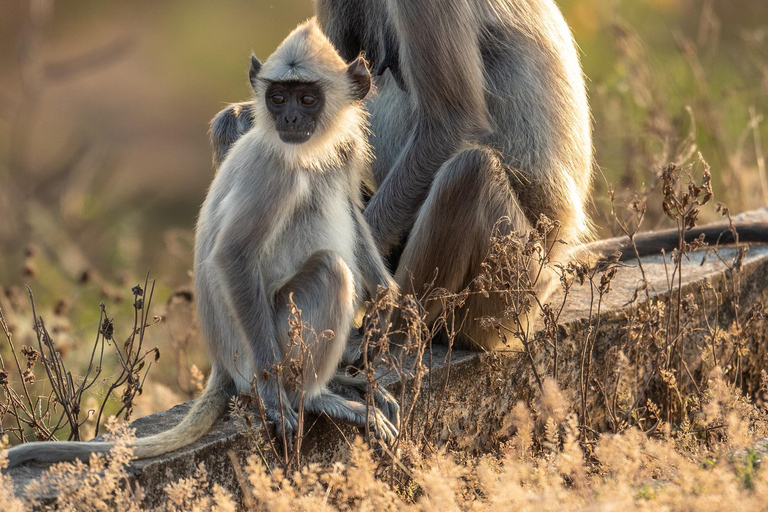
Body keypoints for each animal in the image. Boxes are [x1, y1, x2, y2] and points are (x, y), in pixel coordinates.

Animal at [4, 19, 402, 468]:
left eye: (307, 98)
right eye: (277, 98)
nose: (290, 116)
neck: (308, 152)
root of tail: (222, 364)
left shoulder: (344, 149)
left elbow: (352, 210)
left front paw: (386, 302)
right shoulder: (272, 167)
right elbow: (233, 255)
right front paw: (278, 400)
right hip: (262, 354)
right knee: (331, 270)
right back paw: (313, 397)